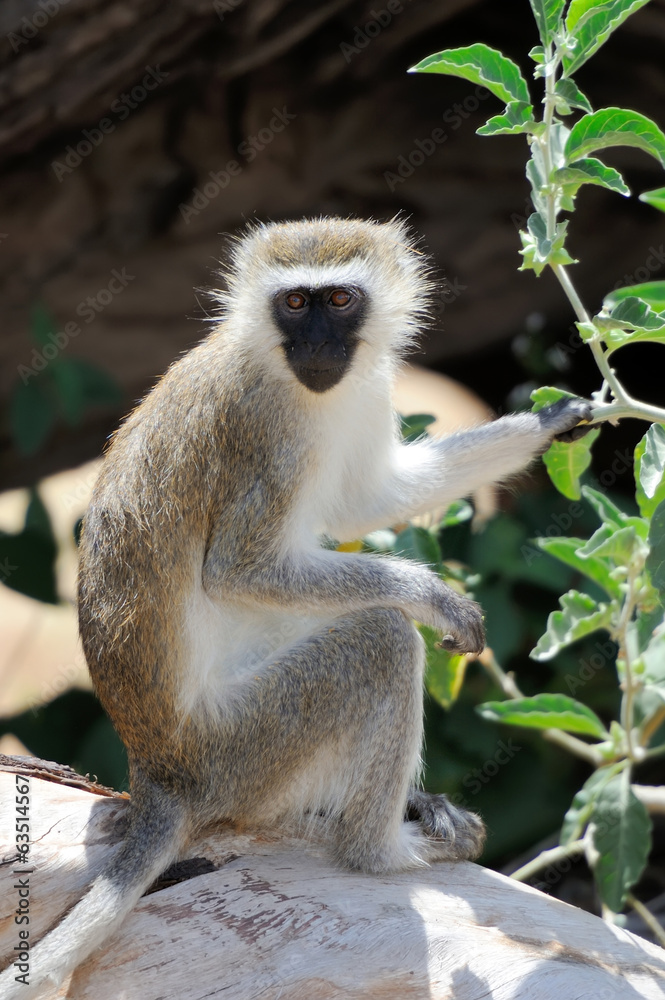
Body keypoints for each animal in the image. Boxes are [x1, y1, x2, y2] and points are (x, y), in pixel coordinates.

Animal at [0, 216, 592, 999]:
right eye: (294, 304)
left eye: (339, 300)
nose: (315, 347)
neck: (288, 376)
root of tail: (158, 773)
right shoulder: (266, 430)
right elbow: (240, 569)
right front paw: (433, 596)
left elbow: (369, 499)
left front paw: (550, 422)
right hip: (245, 749)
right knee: (379, 641)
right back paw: (381, 850)